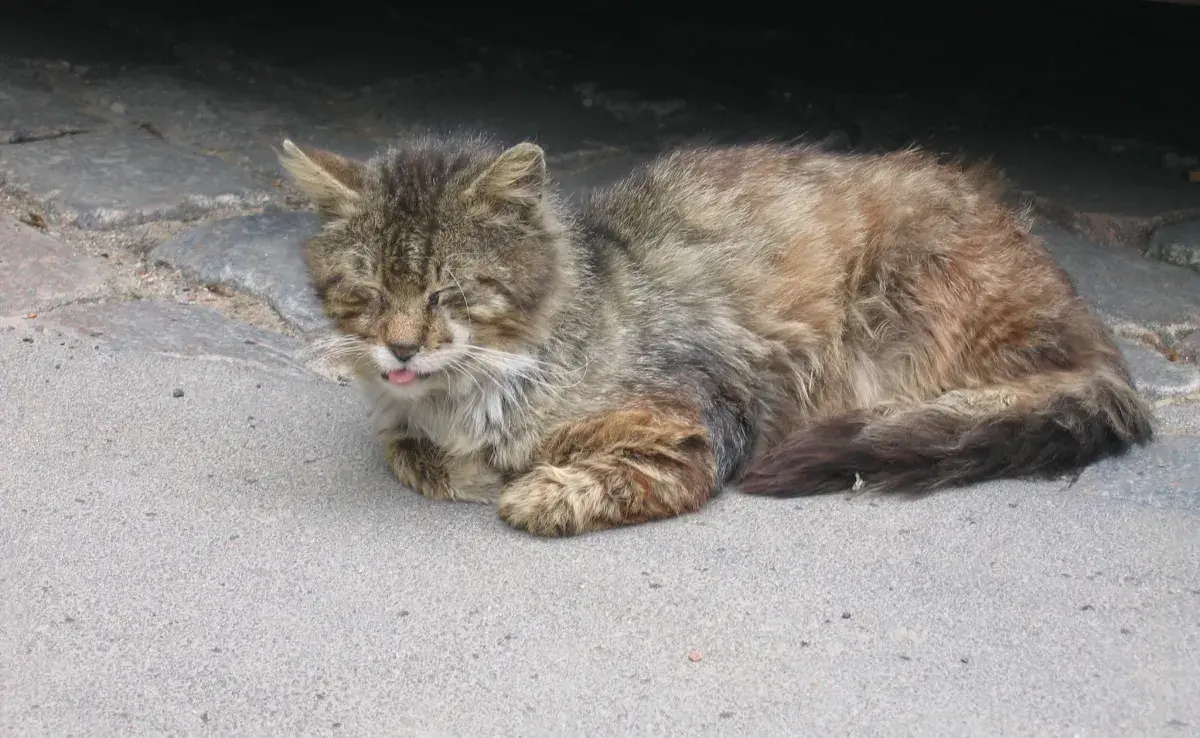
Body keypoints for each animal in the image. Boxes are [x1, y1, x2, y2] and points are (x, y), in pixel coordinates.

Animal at [278, 131, 1152, 537]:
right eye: (367, 292)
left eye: (448, 292)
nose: (400, 346)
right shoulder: (404, 424)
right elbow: (407, 450)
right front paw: (465, 462)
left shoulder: (697, 421)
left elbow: (589, 476)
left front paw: (532, 487)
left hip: (909, 308)